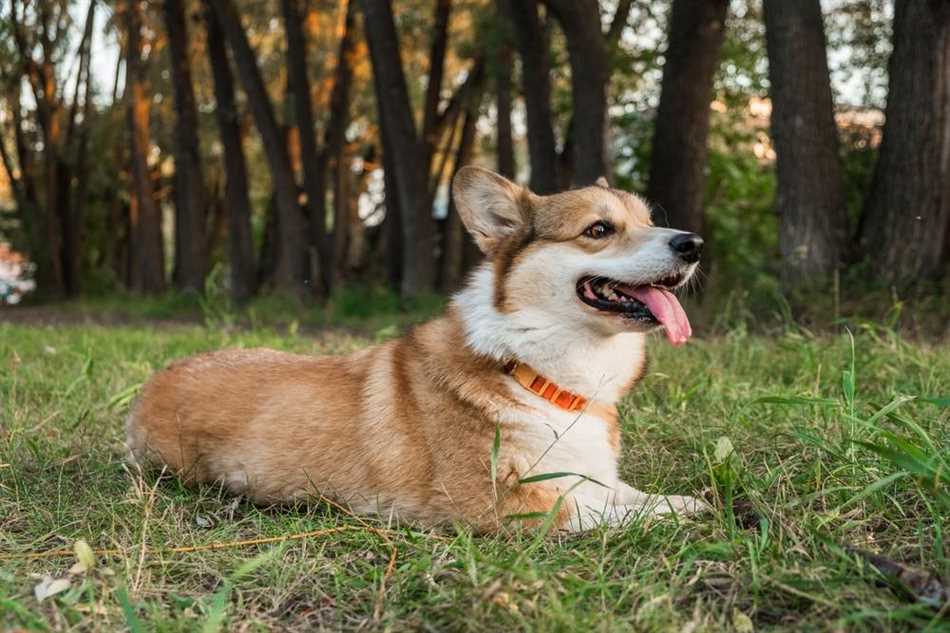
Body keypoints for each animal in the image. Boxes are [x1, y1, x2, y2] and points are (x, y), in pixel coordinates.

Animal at [126, 165, 708, 532]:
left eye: (650, 221)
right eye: (599, 229)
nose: (694, 244)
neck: (533, 371)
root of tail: (154, 381)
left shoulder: (590, 476)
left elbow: (636, 495)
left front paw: (695, 502)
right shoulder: (499, 503)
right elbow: (603, 511)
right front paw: (697, 513)